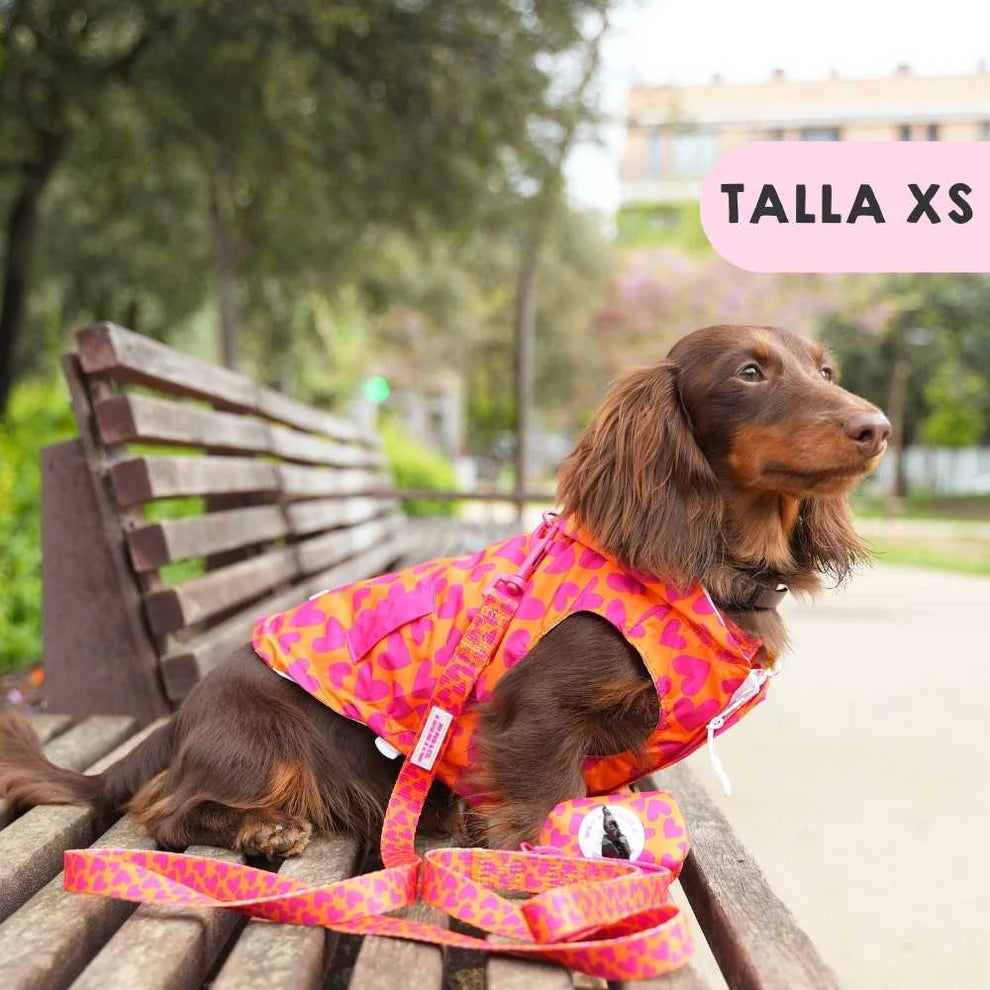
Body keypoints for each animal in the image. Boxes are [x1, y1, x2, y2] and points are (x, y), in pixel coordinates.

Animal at [0, 324, 889, 856]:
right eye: (750, 371)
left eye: (826, 368)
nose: (876, 426)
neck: (707, 576)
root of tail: (175, 721)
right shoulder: (534, 716)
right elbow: (546, 802)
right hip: (261, 744)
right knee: (167, 811)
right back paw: (266, 830)